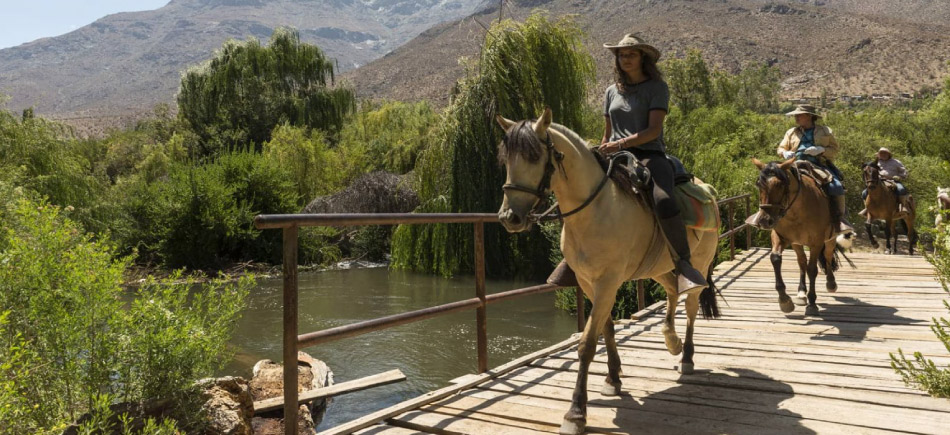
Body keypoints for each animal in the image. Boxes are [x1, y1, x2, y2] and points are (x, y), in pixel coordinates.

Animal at [498, 107, 720, 434]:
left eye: (535, 156)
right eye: (506, 159)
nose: (509, 218)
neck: (596, 210)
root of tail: (709, 192)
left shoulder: (608, 283)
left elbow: (587, 344)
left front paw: (576, 413)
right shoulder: (590, 284)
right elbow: (606, 328)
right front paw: (613, 379)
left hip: (699, 265)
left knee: (691, 306)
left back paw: (687, 357)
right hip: (658, 267)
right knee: (671, 291)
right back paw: (671, 340)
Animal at [756, 158, 852, 316]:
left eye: (780, 184)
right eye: (758, 183)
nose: (764, 220)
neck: (796, 211)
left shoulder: (816, 243)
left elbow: (812, 270)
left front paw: (812, 304)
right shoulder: (780, 237)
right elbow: (776, 259)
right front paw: (785, 301)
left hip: (830, 239)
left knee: (827, 255)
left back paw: (831, 283)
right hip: (797, 243)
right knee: (801, 262)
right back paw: (801, 293)